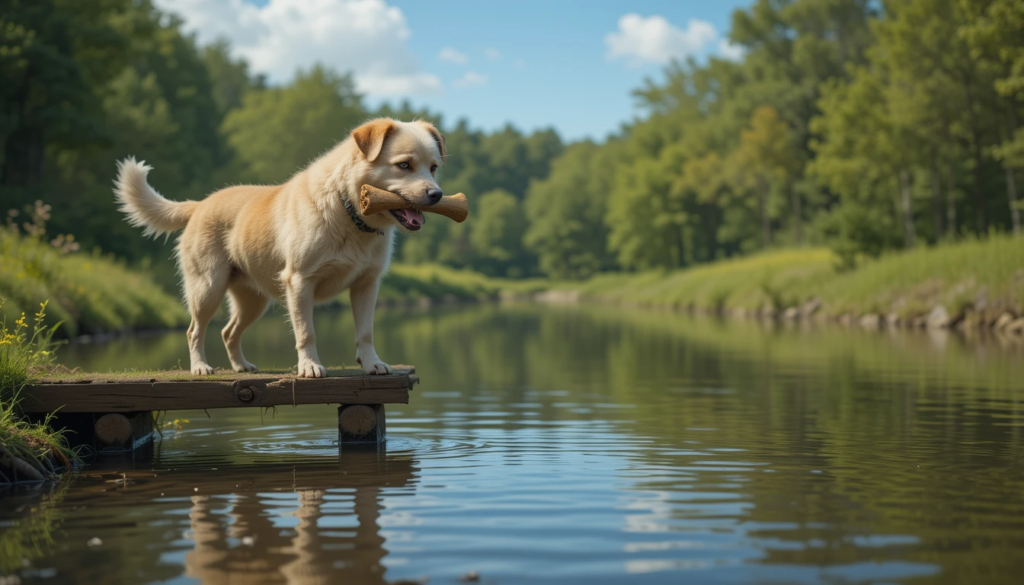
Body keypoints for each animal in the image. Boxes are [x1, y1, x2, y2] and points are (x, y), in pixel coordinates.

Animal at [114, 116, 446, 377]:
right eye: (404, 165)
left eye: (433, 168)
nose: (437, 195)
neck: (349, 211)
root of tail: (199, 204)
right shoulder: (299, 282)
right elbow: (306, 332)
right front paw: (309, 366)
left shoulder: (366, 284)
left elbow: (365, 332)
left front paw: (372, 363)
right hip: (207, 288)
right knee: (195, 330)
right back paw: (200, 367)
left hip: (253, 300)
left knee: (228, 331)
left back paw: (241, 366)